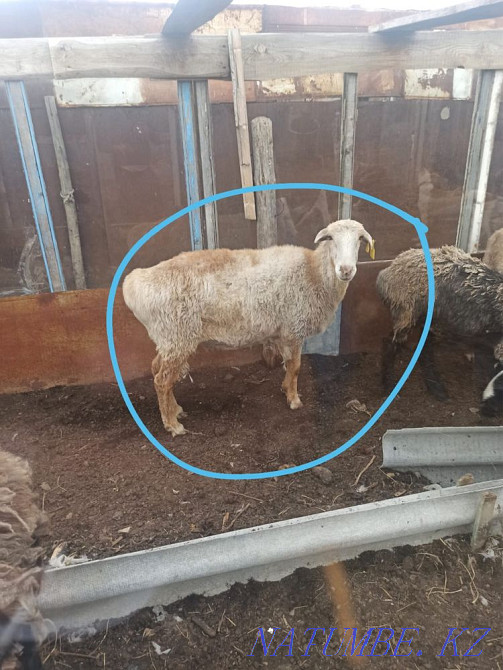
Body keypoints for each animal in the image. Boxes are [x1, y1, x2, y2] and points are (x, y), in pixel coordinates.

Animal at [123, 219, 375, 436]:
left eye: (360, 239)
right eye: (331, 238)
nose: (346, 270)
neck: (313, 272)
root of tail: (135, 284)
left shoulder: (283, 332)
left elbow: (288, 366)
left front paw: (285, 389)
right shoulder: (293, 328)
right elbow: (295, 367)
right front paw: (294, 400)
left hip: (168, 337)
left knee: (158, 370)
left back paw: (175, 410)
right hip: (177, 334)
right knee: (162, 380)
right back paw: (172, 425)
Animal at [376, 245, 503, 415]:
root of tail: (389, 270)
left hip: (429, 319)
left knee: (423, 348)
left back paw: (436, 388)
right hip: (407, 313)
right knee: (391, 343)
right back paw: (389, 386)